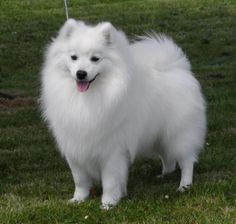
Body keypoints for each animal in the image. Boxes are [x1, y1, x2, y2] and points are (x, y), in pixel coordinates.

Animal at [41, 18, 206, 208]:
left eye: (95, 59)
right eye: (73, 57)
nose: (81, 73)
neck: (87, 98)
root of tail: (177, 67)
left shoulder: (112, 150)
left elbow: (110, 181)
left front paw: (108, 203)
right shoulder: (74, 147)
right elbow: (80, 180)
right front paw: (78, 199)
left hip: (178, 133)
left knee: (187, 160)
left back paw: (184, 185)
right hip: (158, 135)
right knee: (168, 157)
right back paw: (164, 174)